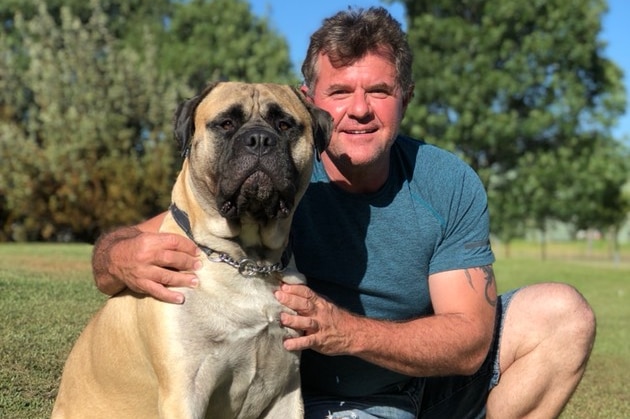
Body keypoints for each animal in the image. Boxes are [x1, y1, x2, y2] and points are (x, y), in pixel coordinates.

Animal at [51, 82, 334, 419]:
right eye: (226, 123)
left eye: (285, 125)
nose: (260, 140)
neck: (248, 261)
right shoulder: (186, 387)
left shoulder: (286, 390)